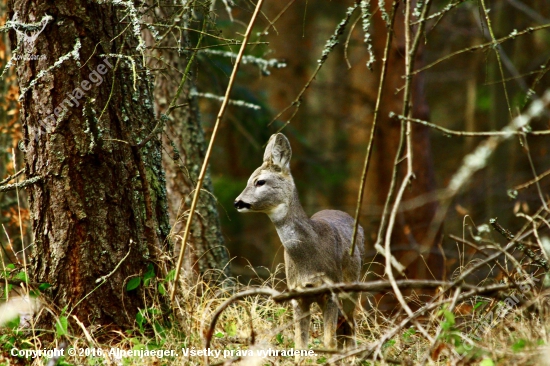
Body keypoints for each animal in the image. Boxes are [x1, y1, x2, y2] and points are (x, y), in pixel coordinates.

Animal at [235, 134, 364, 352]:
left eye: (260, 181)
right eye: (247, 181)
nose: (237, 202)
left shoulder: (331, 291)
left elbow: (328, 342)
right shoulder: (297, 295)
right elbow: (300, 344)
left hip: (352, 286)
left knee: (351, 326)